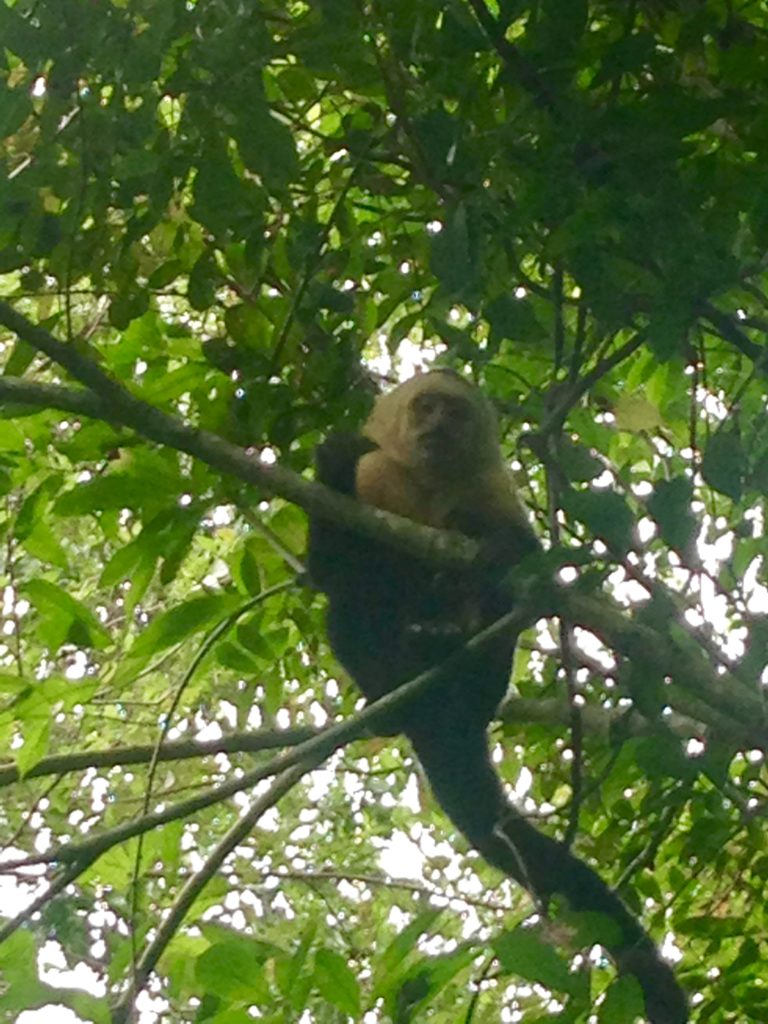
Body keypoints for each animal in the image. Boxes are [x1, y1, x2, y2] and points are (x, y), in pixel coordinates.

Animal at [309, 370, 688, 1024]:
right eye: (425, 407)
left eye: (455, 413)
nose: (437, 426)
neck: (430, 483)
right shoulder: (375, 476)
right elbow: (331, 570)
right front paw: (333, 458)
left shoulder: (491, 484)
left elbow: (526, 560)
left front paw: (490, 549)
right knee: (350, 610)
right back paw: (394, 691)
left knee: (495, 623)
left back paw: (458, 648)